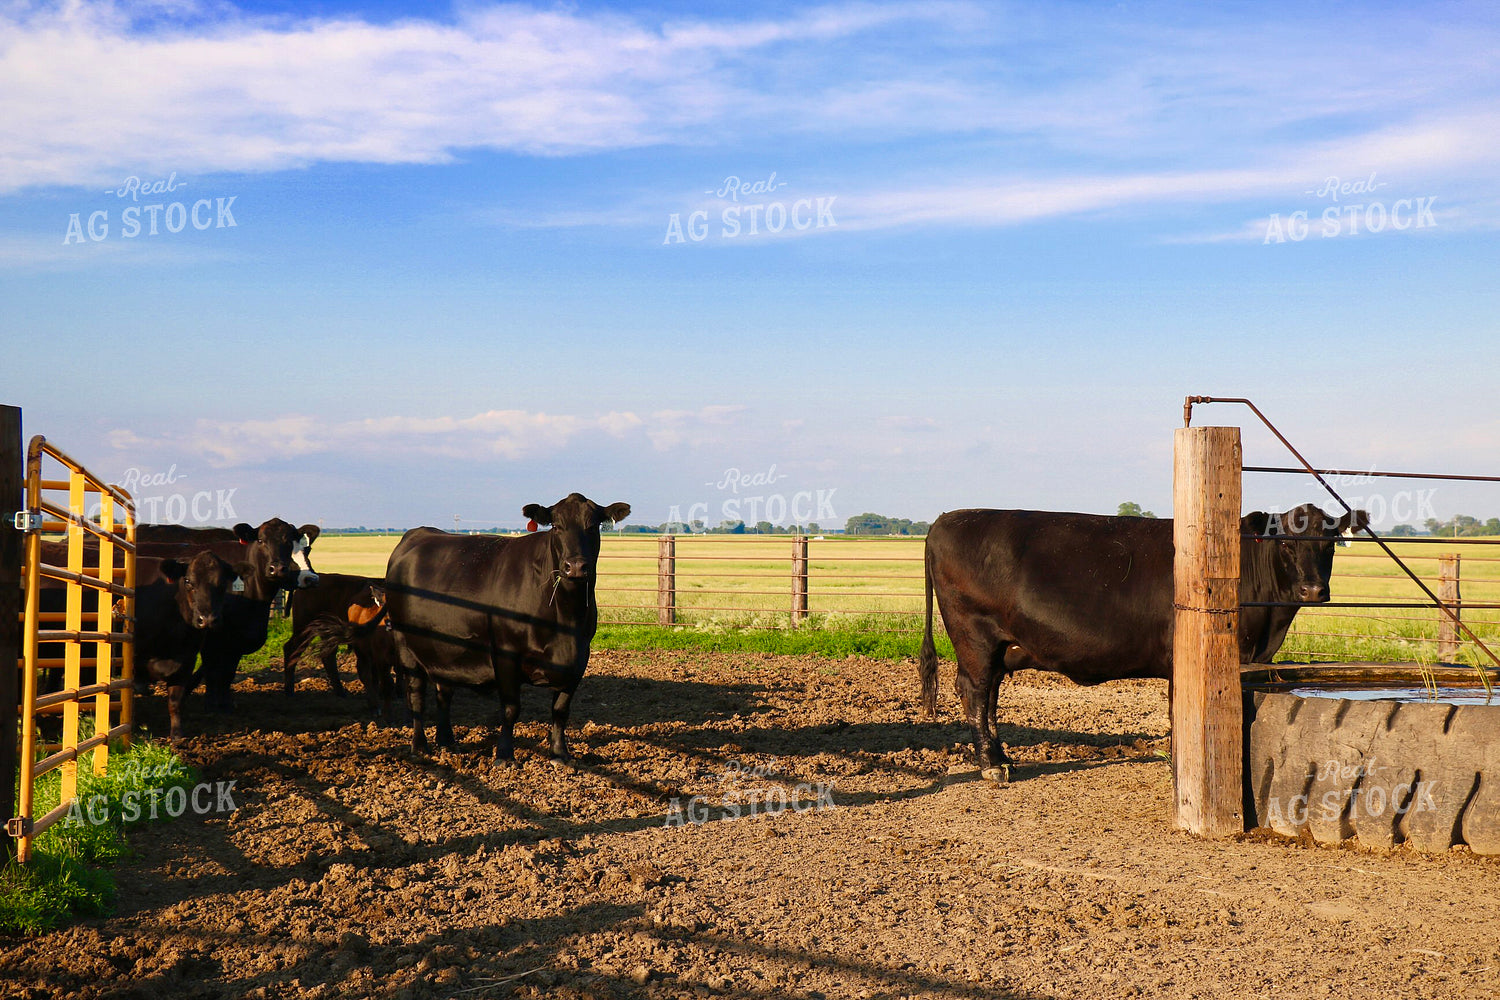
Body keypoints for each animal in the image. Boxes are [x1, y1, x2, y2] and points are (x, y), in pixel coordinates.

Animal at [382, 493, 630, 758]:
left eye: (593, 526)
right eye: (556, 526)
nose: (575, 566)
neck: (565, 619)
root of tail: (417, 533)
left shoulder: (579, 658)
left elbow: (561, 709)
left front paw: (559, 753)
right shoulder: (505, 652)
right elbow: (511, 708)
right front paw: (504, 754)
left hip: (444, 649)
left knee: (444, 693)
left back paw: (446, 741)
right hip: (405, 643)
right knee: (416, 695)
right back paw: (419, 746)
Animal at [919, 503, 1368, 782]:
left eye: (1330, 542)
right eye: (1286, 542)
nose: (1314, 590)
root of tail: (945, 519)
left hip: (999, 646)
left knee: (990, 695)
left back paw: (1003, 757)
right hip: (974, 636)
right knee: (975, 692)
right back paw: (992, 765)